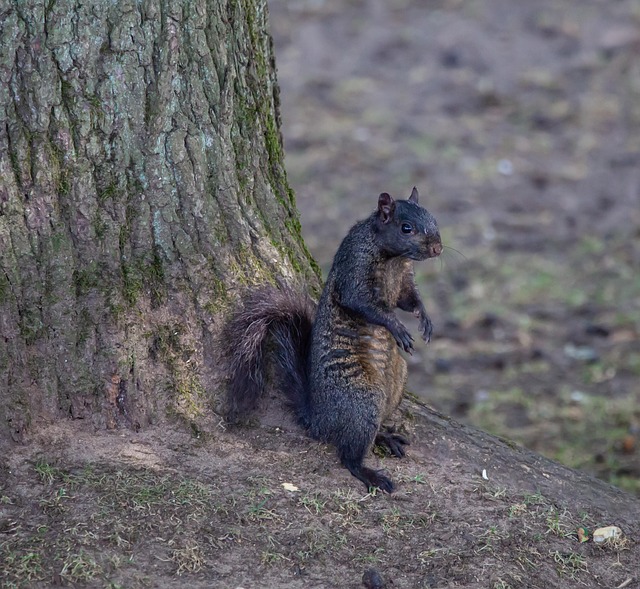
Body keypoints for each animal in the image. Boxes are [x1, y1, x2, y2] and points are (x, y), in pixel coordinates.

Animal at [222, 187, 442, 493]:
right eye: (406, 228)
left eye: (433, 218)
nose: (438, 249)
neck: (394, 258)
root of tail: (320, 420)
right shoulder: (354, 266)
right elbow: (363, 303)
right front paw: (397, 328)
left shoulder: (405, 279)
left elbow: (409, 299)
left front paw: (426, 318)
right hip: (361, 401)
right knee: (349, 456)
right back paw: (371, 474)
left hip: (396, 385)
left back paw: (385, 437)